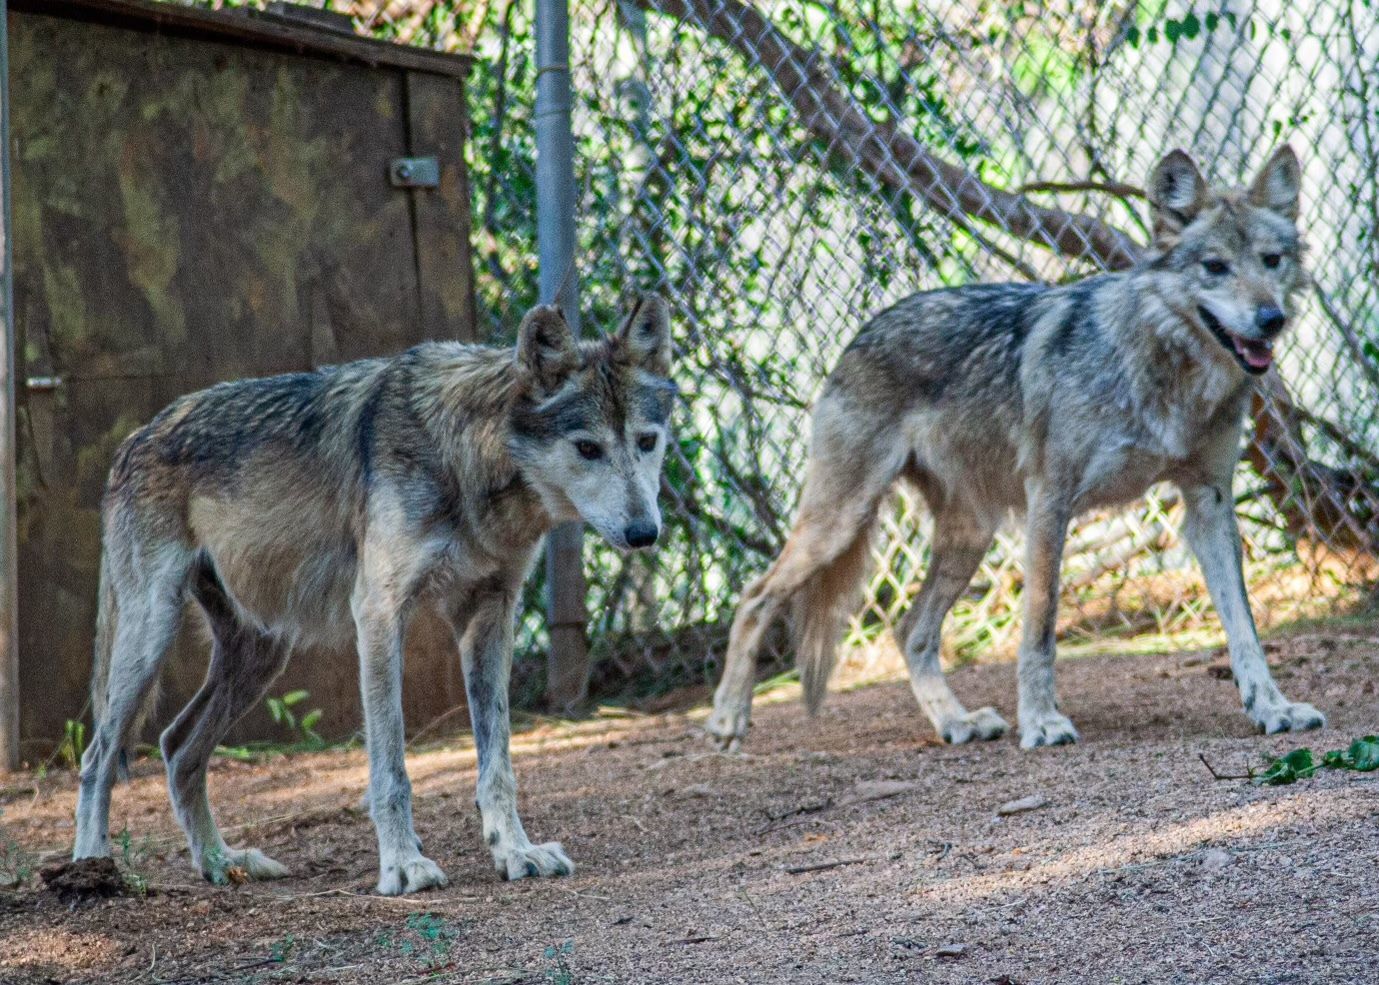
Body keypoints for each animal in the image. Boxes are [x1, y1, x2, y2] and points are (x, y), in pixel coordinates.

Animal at [75, 297, 678, 888]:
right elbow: (391, 770)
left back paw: (222, 864)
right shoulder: (381, 614)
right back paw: (93, 869)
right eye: (588, 448)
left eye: (647, 442)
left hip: (260, 656)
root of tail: (133, 439)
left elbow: (498, 764)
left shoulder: (489, 616)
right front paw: (404, 867)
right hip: (151, 636)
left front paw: (514, 852)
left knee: (177, 748)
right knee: (99, 755)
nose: (644, 532)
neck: (465, 456)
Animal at [711, 144, 1323, 744]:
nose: (1271, 318)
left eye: (1272, 260)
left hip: (969, 535)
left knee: (910, 630)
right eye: (1215, 267)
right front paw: (1043, 721)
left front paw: (1272, 707)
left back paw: (956, 723)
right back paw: (729, 721)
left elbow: (1245, 628)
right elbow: (1040, 628)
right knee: (755, 596)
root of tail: (859, 333)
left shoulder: (1209, 504)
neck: (1159, 367)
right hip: (841, 522)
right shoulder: (1050, 501)